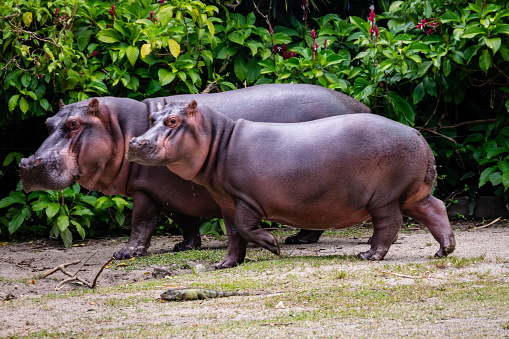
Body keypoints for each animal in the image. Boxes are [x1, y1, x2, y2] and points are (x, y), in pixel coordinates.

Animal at [18, 84, 370, 258]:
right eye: (48, 122)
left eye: (74, 124)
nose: (26, 164)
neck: (118, 127)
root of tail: (361, 106)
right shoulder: (170, 193)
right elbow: (183, 221)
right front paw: (184, 247)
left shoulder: (145, 192)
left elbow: (140, 223)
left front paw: (125, 253)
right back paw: (298, 238)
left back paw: (300, 239)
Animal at [127, 100, 456, 268]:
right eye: (153, 117)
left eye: (172, 121)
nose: (135, 141)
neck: (219, 139)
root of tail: (418, 134)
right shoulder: (227, 203)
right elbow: (234, 236)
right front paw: (225, 264)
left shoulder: (245, 200)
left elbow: (245, 228)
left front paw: (272, 246)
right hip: (412, 194)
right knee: (435, 209)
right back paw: (444, 251)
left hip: (384, 198)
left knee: (388, 225)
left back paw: (369, 256)